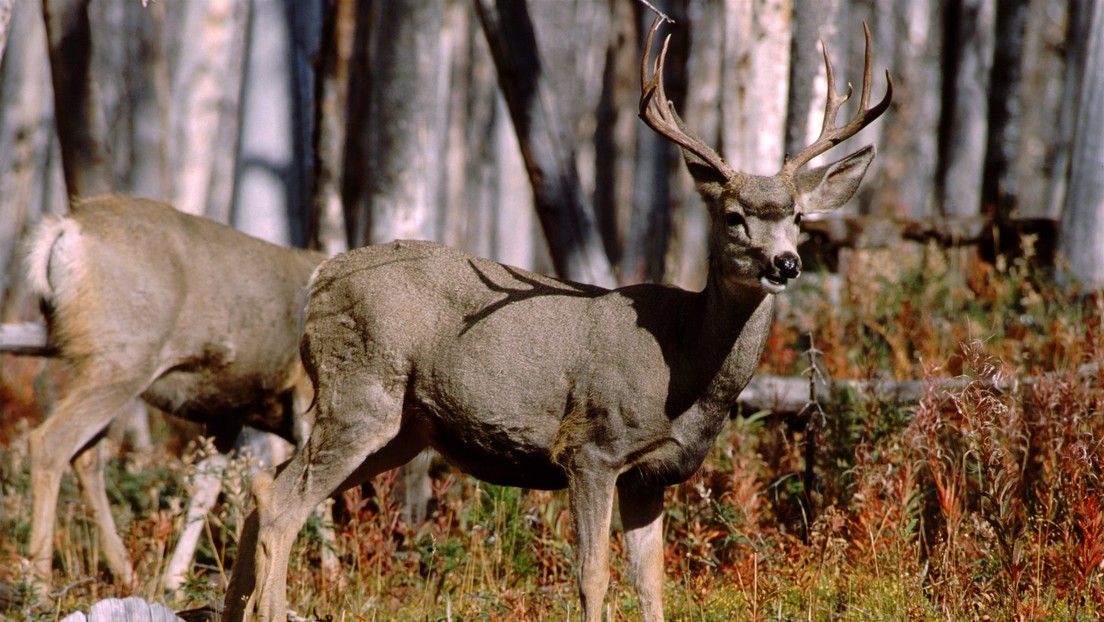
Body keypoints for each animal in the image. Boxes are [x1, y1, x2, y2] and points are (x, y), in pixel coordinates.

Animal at [23, 195, 325, 595]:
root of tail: (64, 229)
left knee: (86, 456)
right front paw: (334, 575)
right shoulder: (305, 391)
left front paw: (176, 579)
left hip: (93, 363)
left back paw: (126, 573)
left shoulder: (228, 414)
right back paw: (39, 583)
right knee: (50, 441)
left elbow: (206, 485)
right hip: (122, 360)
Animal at [223, 18, 891, 622]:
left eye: (799, 217)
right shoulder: (592, 446)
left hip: (406, 427)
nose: (786, 262)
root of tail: (318, 280)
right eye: (733, 217)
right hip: (359, 390)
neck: (684, 365)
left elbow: (653, 584)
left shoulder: (651, 474)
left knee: (263, 486)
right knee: (280, 504)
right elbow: (593, 576)